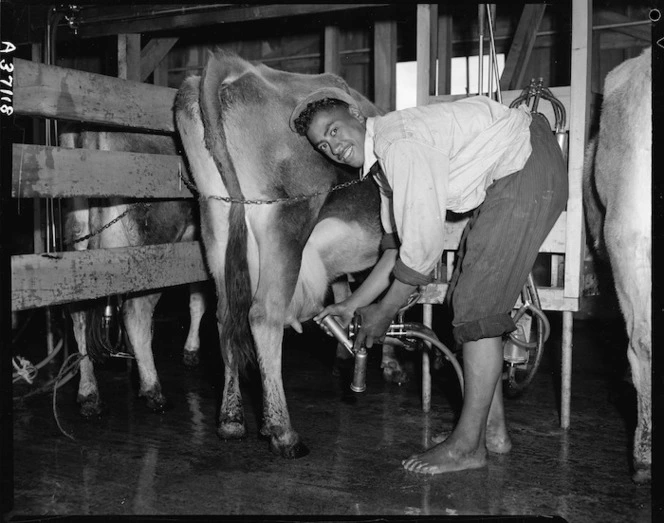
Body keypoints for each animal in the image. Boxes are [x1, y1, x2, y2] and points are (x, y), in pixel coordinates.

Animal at [175, 50, 384, 458]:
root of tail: (236, 67)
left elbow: (345, 292)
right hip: (286, 220)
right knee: (262, 314)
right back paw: (283, 432)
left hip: (216, 219)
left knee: (227, 315)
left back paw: (231, 420)